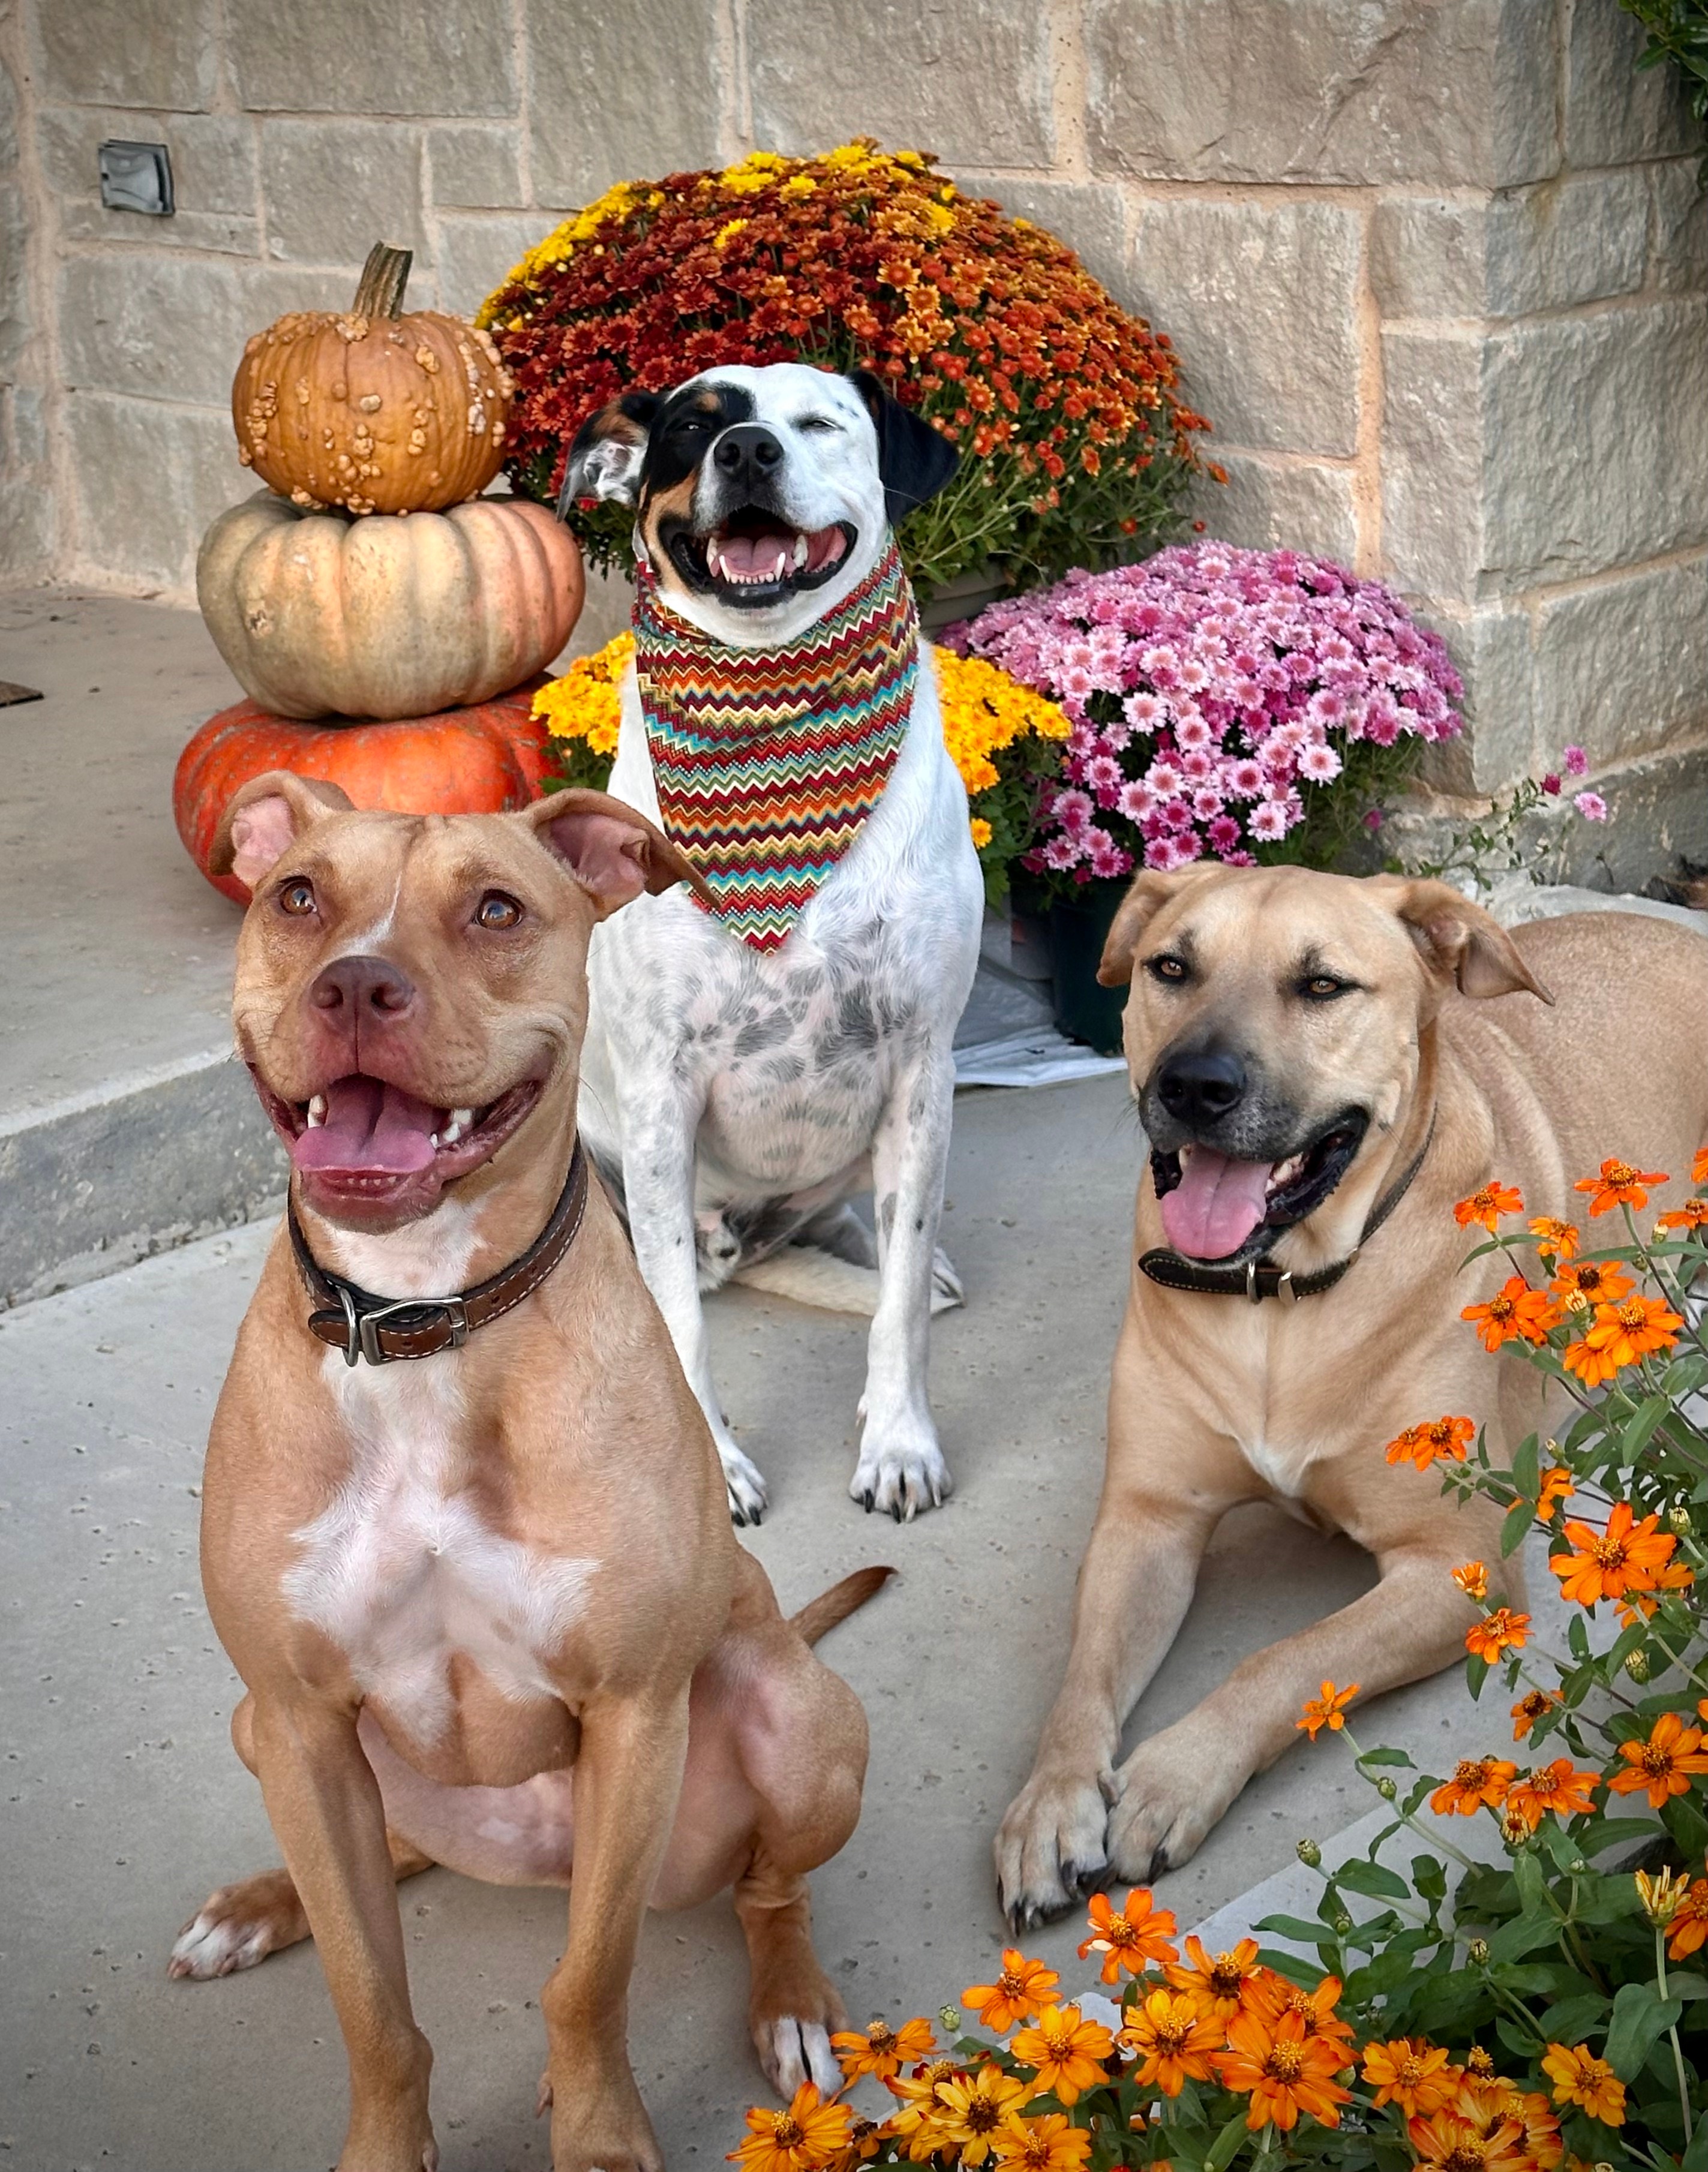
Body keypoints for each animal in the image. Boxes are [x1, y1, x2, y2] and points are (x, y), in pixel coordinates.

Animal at [172, 773, 886, 2172]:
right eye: (298, 897)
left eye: (497, 909)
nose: (355, 984)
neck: (423, 1319)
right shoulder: (296, 1715)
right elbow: (373, 2004)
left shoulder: (634, 1710)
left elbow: (586, 1982)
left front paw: (597, 2128)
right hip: (268, 1736)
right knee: (390, 1854)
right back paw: (259, 1904)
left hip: (798, 1717)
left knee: (768, 1889)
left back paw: (789, 2005)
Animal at [560, 361, 977, 1529]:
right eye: (692, 427)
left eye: (817, 422)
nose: (745, 451)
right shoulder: (662, 1094)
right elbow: (677, 1327)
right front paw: (713, 1463)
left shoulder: (921, 1073)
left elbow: (898, 1308)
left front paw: (899, 1442)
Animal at [990, 855, 1703, 1928]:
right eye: (1169, 967)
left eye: (1321, 985)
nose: (1191, 1087)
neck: (1276, 1297)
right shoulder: (1145, 1519)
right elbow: (1080, 1680)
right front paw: (1048, 1803)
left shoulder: (1454, 1567)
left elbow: (1287, 1658)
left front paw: (1172, 1775)